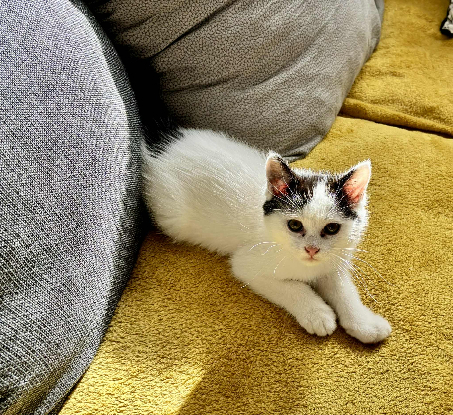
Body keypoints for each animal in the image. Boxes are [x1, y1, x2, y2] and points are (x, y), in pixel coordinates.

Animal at [142, 127, 391, 344]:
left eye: (331, 229)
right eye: (294, 225)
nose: (311, 249)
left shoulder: (334, 261)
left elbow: (344, 291)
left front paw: (365, 323)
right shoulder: (246, 264)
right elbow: (292, 287)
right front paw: (318, 313)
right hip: (173, 216)